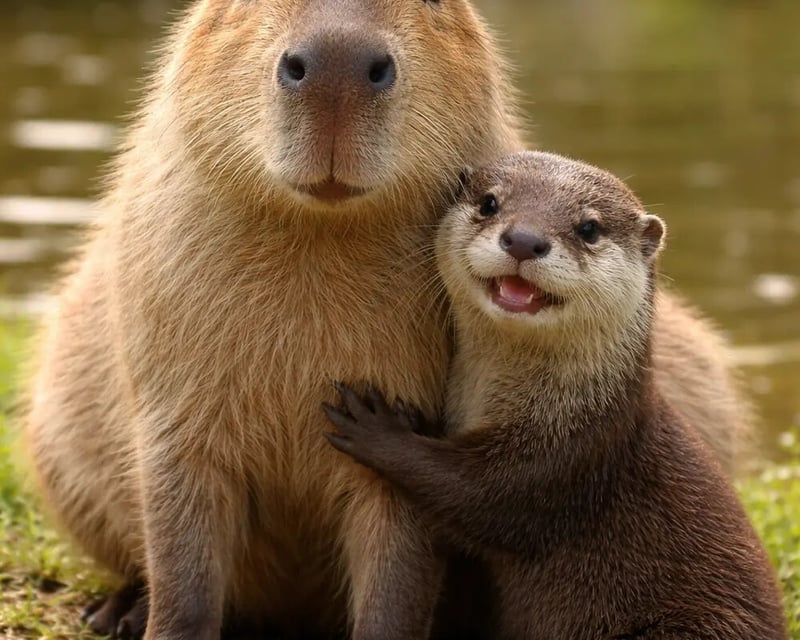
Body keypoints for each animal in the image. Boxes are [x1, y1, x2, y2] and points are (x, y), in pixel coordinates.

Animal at [324, 152, 786, 640]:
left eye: (589, 228)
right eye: (489, 203)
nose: (525, 240)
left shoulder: (570, 457)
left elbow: (475, 493)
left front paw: (377, 428)